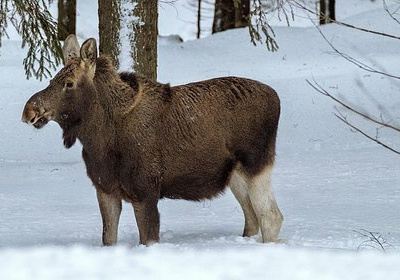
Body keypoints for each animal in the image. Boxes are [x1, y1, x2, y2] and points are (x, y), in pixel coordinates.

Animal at [21, 34, 282, 245]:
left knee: (271, 216)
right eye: (51, 80)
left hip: (256, 164)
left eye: (69, 83)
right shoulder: (105, 189)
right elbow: (108, 238)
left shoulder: (145, 191)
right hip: (234, 174)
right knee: (252, 217)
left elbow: (147, 239)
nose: (29, 111)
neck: (98, 139)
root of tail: (276, 98)